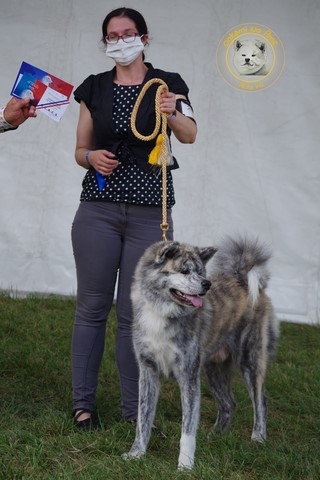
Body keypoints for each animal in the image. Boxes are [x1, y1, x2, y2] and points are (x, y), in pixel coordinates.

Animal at [124, 236, 278, 468]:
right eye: (184, 271)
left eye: (201, 271)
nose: (207, 284)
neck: (162, 313)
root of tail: (243, 280)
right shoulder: (148, 371)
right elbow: (143, 419)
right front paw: (136, 454)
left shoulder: (188, 376)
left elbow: (187, 430)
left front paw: (185, 466)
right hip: (214, 369)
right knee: (228, 403)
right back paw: (214, 436)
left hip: (249, 359)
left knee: (261, 400)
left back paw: (258, 438)